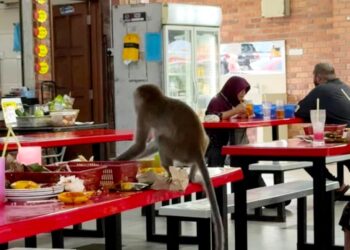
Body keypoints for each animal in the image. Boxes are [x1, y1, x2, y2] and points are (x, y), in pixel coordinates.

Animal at [116, 84, 223, 250]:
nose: (134, 103)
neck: (156, 98)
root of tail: (196, 149)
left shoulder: (144, 112)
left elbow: (140, 145)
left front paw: (115, 160)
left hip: (177, 150)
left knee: (161, 139)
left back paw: (169, 174)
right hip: (201, 145)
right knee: (204, 140)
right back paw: (192, 176)